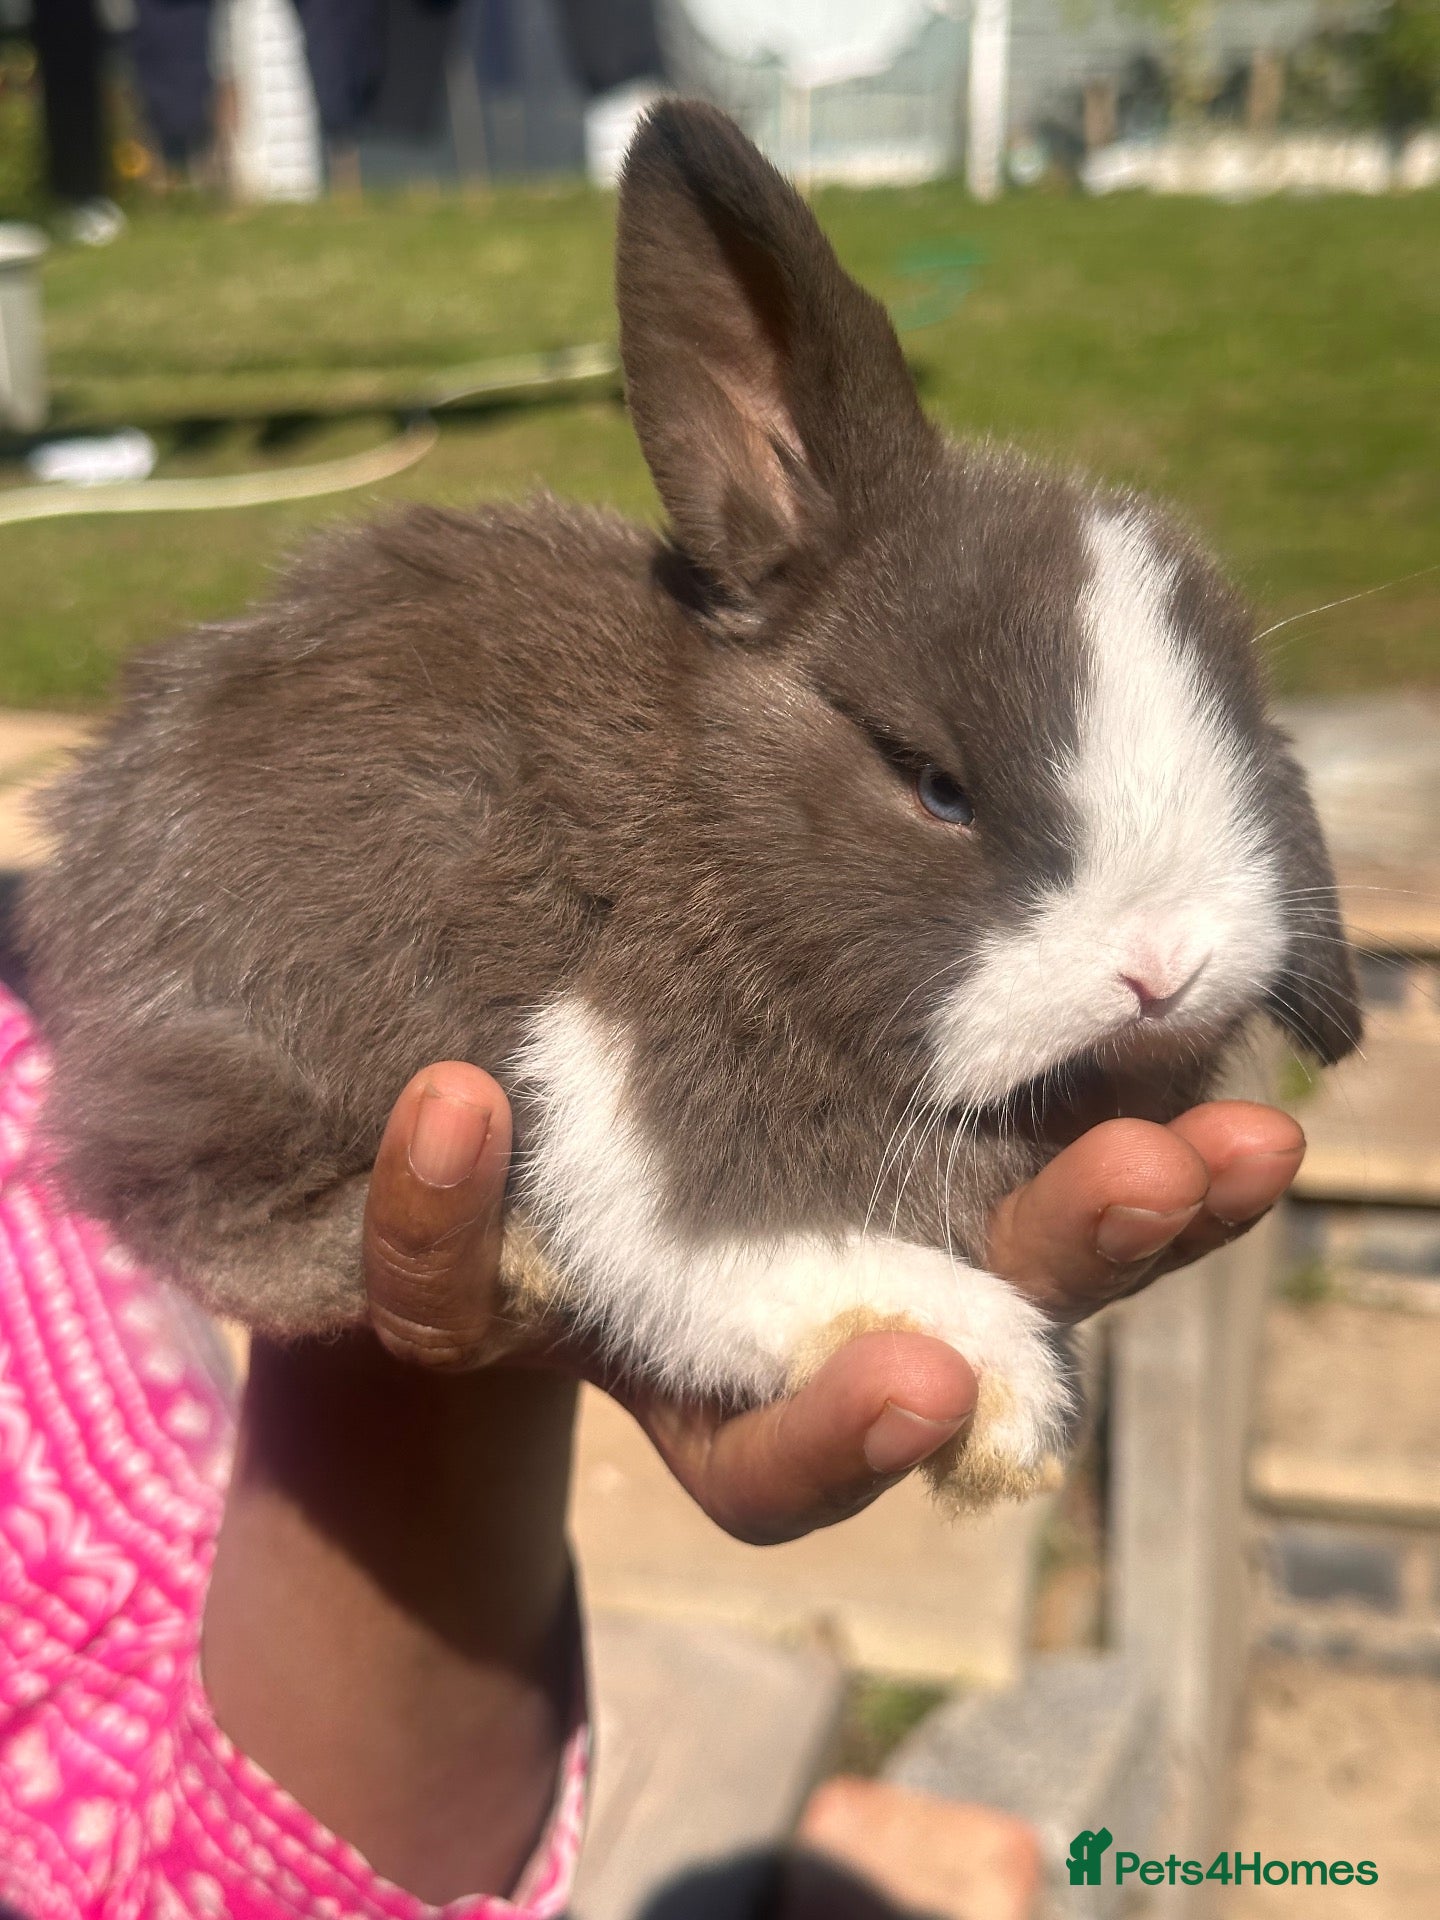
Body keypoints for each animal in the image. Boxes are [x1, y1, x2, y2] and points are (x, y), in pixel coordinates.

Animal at [19, 101, 1361, 1511]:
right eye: (933, 781)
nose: (1163, 967)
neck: (711, 818)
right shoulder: (630, 1076)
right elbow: (741, 1255)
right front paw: (1015, 1399)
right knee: (165, 1192)